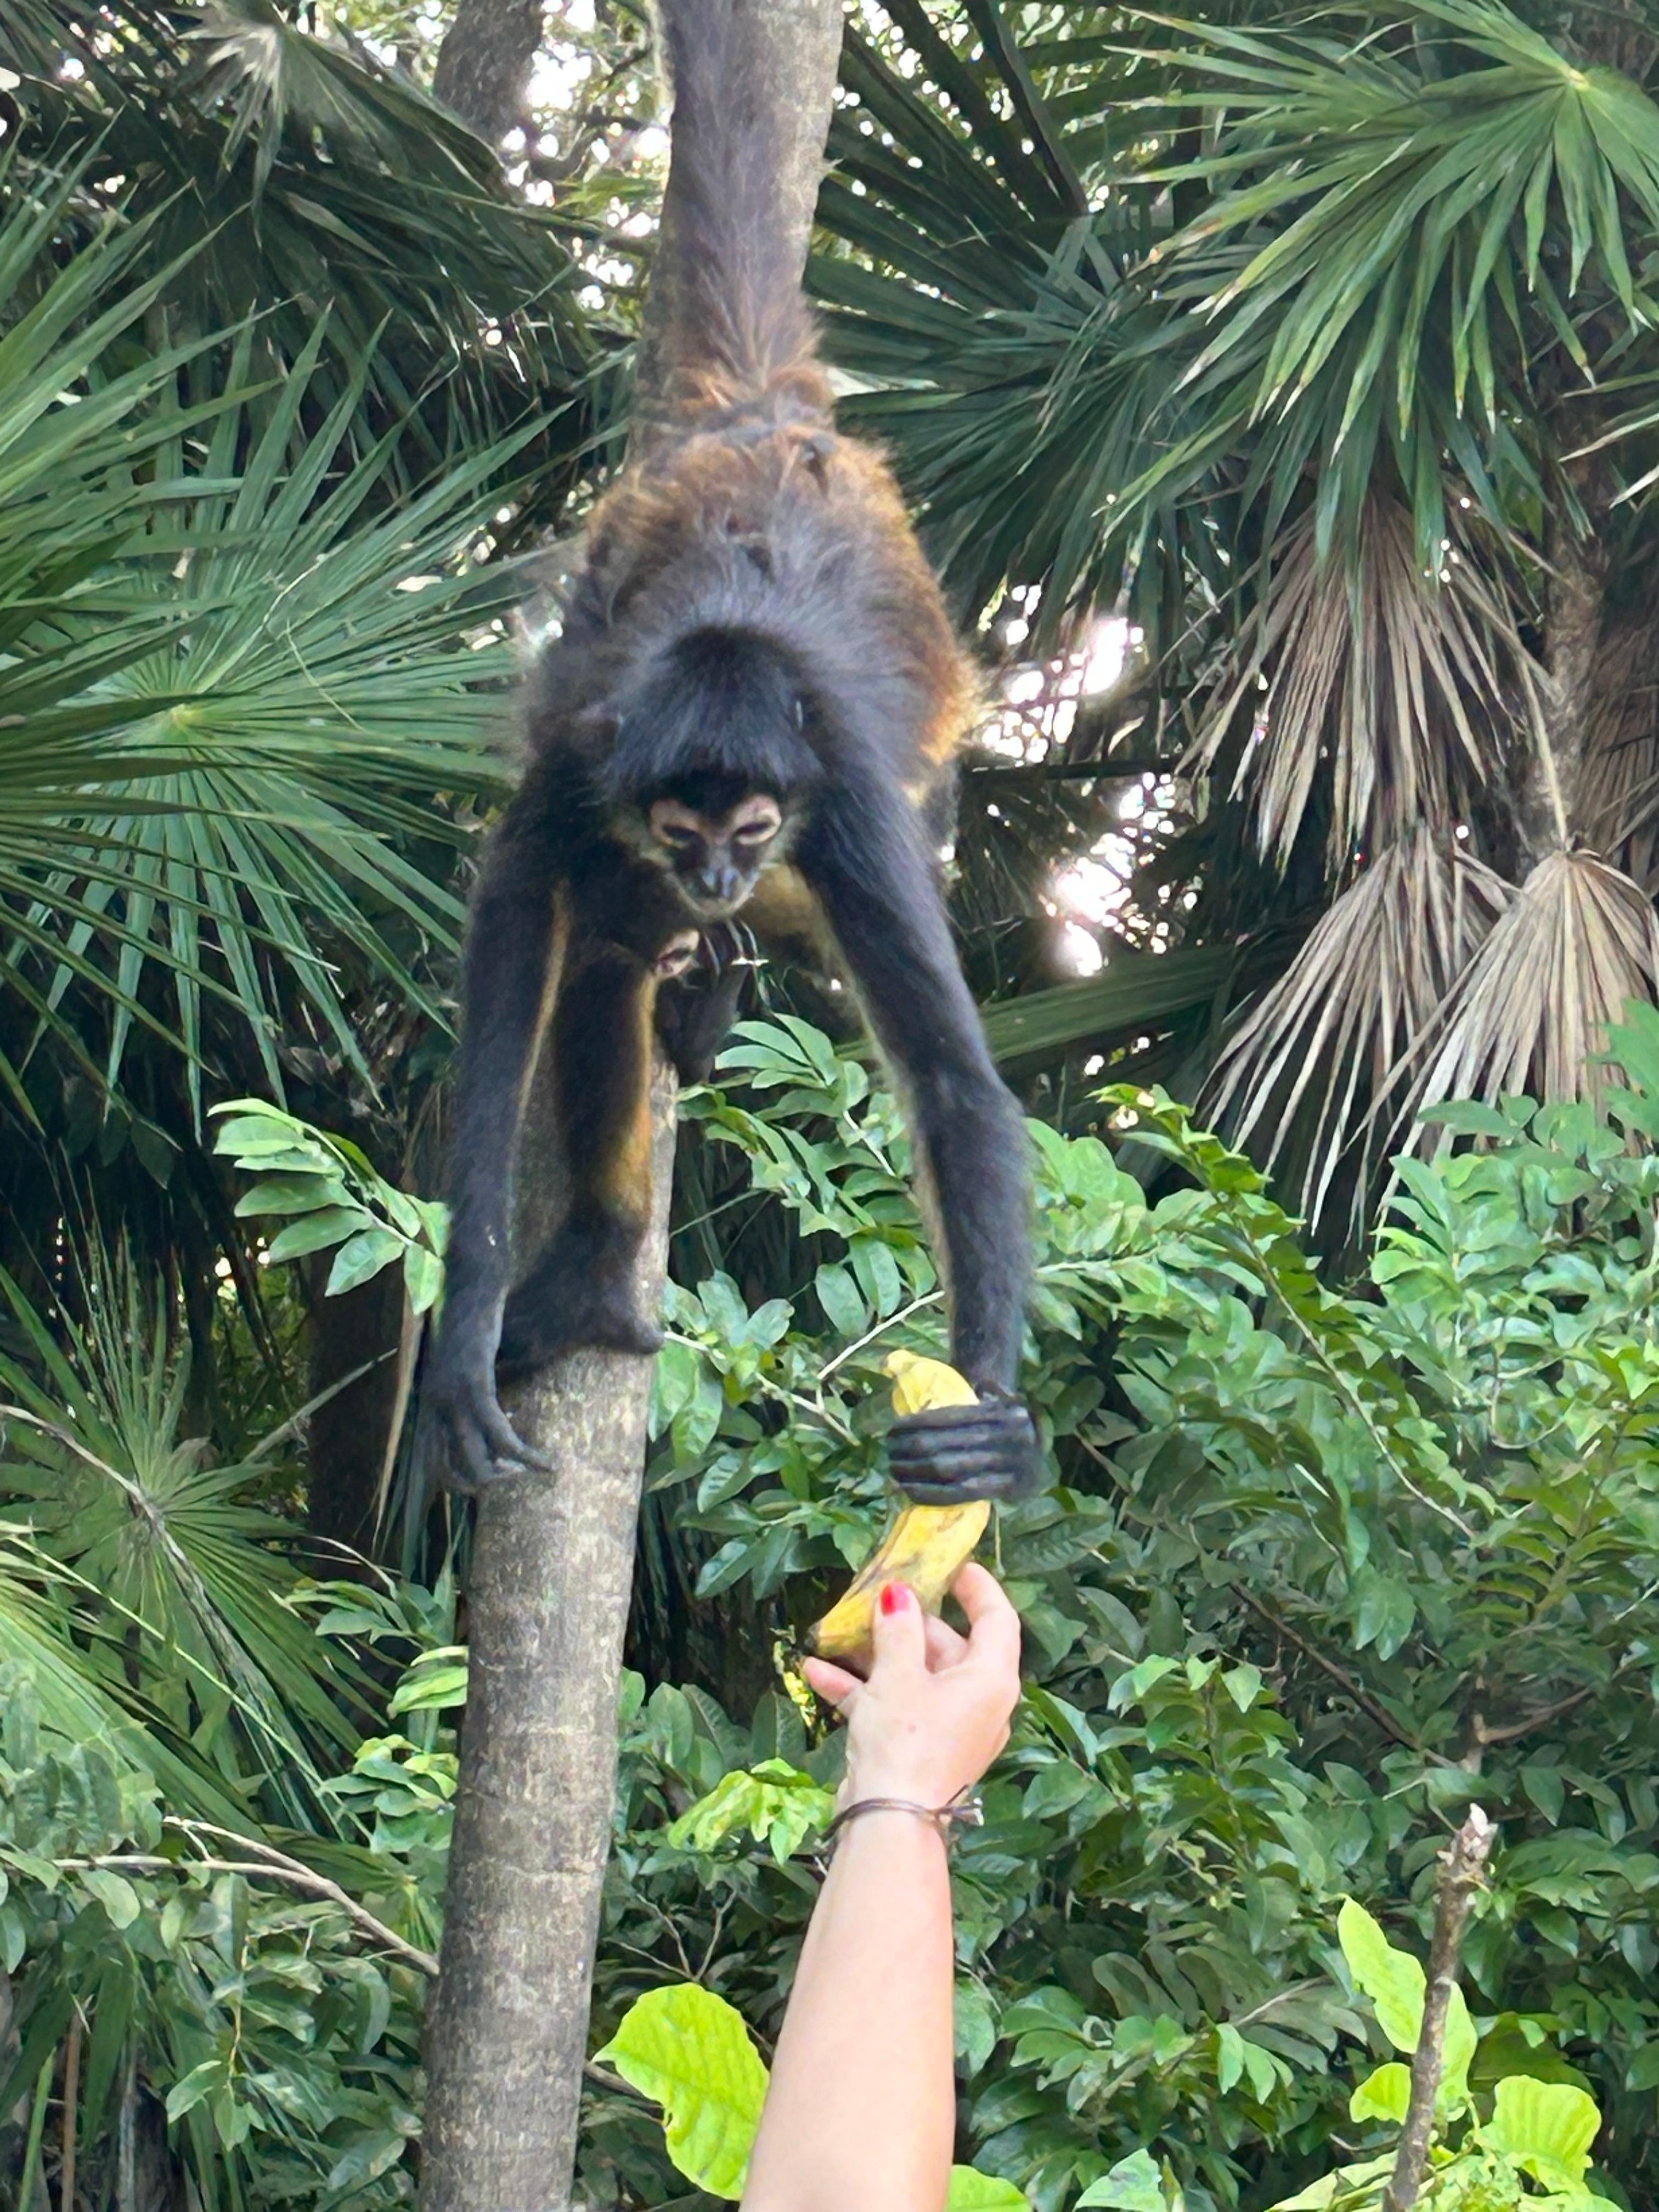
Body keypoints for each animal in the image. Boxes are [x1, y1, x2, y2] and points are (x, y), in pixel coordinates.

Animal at [416, 0, 1039, 1506]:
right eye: (683, 825)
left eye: (749, 828)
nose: (716, 878)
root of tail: (760, 425)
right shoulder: (593, 746)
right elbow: (515, 924)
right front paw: (463, 1320)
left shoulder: (847, 807)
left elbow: (952, 1084)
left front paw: (995, 1419)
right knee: (605, 945)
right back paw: (599, 1256)